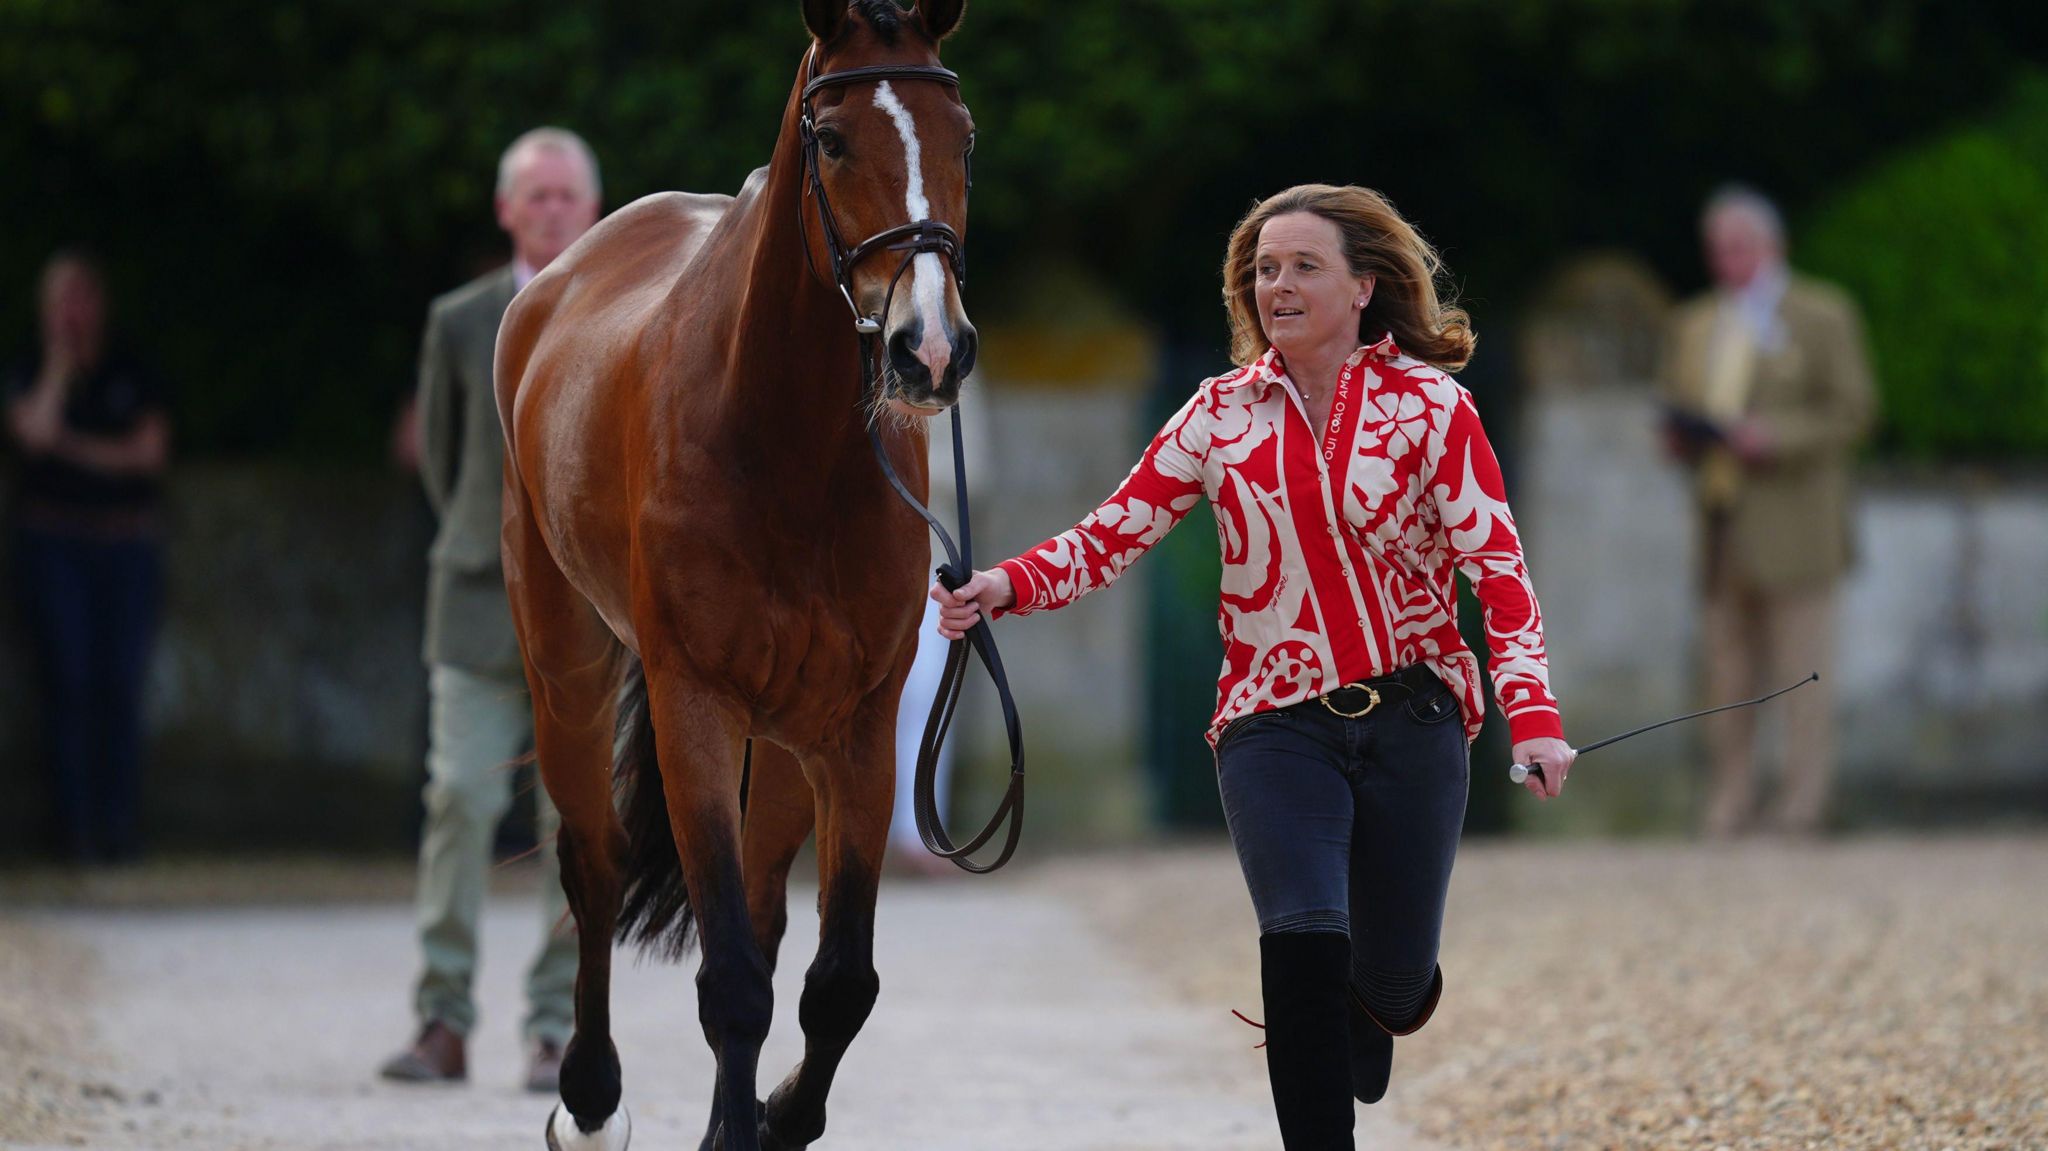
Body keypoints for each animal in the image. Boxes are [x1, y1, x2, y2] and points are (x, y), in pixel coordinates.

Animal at [493, 4, 974, 1138]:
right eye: (832, 140)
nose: (929, 349)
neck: (786, 448)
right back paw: (589, 1095)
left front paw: (772, 1114)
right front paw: (729, 1120)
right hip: (566, 668)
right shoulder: (695, 707)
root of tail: (556, 282)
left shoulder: (855, 725)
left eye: (964, 138)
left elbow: (835, 978)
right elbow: (734, 979)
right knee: (592, 863)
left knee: (757, 906)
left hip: (787, 735)